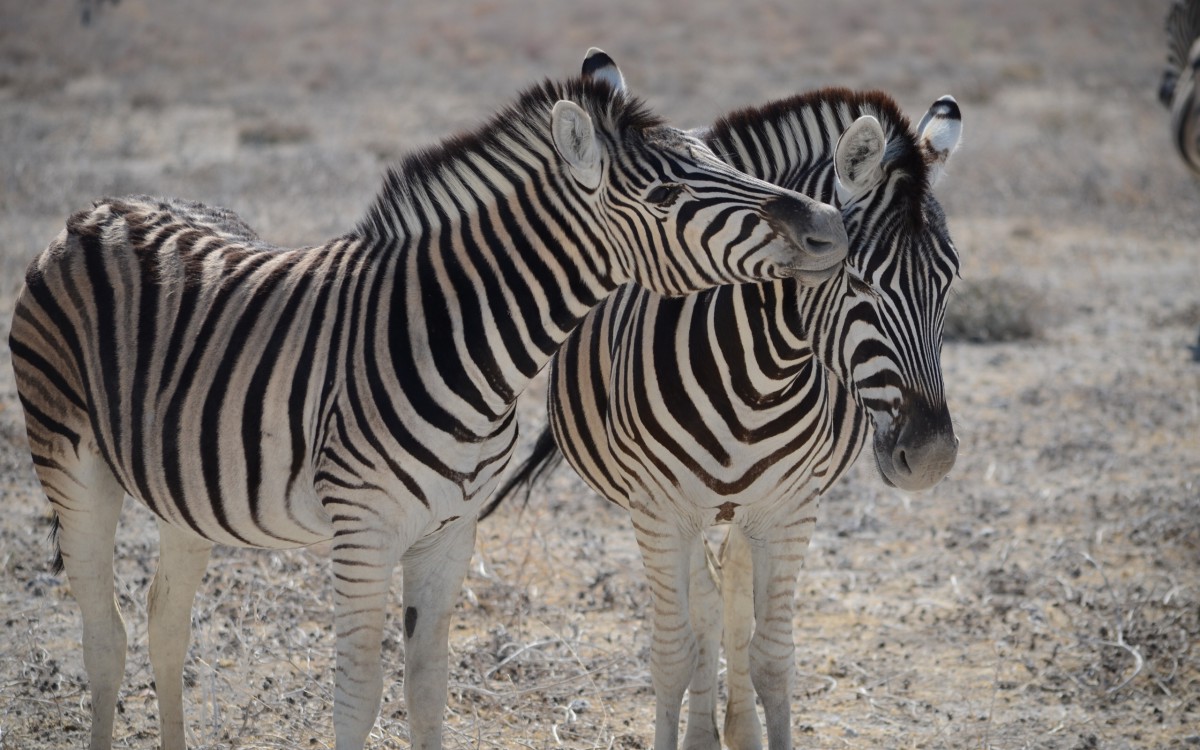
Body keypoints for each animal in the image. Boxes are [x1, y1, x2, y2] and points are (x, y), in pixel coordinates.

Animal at [9, 71, 854, 748]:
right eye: (669, 195)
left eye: (720, 160)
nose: (829, 225)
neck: (468, 350)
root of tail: (101, 208)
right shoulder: (363, 531)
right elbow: (358, 693)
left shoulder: (451, 532)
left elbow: (426, 691)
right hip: (71, 464)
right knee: (105, 639)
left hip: (187, 492)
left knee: (164, 624)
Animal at [482, 49, 960, 744]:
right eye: (859, 281)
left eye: (951, 279)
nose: (930, 459)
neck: (759, 378)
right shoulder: (658, 511)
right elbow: (674, 653)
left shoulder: (791, 509)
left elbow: (771, 658)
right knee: (706, 601)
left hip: (745, 510)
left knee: (729, 588)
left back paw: (735, 727)